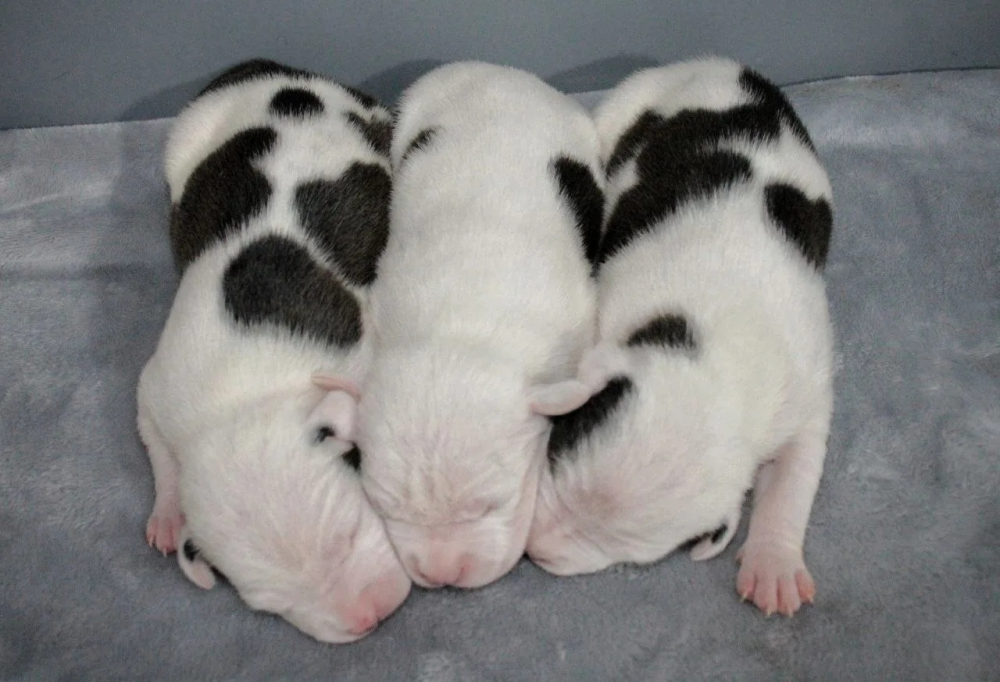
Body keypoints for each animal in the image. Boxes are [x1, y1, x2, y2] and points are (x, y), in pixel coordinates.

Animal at [136, 59, 410, 642]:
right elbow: (158, 444)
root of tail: (269, 69)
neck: (244, 396)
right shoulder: (161, 388)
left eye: (349, 533)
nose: (369, 617)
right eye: (272, 604)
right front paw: (168, 514)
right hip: (184, 139)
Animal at [526, 57, 835, 617]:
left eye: (624, 548)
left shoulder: (804, 398)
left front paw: (774, 567)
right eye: (556, 458)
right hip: (627, 104)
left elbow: (793, 479)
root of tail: (726, 65)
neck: (723, 357)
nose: (535, 551)